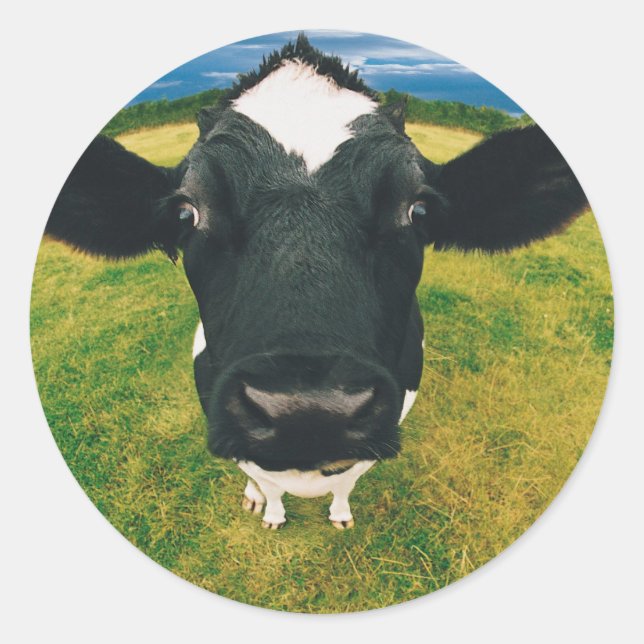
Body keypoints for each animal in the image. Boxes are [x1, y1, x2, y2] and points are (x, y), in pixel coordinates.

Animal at [45, 34, 588, 530]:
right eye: (186, 212)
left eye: (418, 210)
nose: (306, 411)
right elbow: (264, 479)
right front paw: (271, 512)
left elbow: (348, 480)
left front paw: (340, 514)